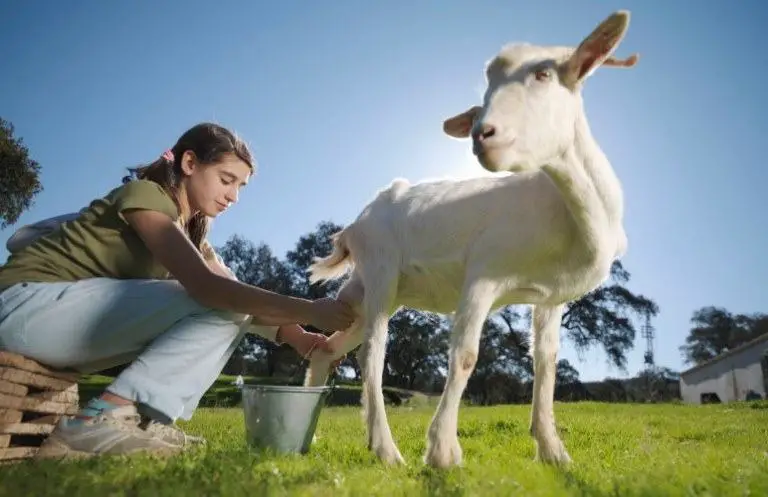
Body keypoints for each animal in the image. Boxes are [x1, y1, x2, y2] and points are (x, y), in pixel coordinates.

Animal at [304, 10, 639, 469]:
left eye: (544, 73)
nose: (484, 133)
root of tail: (355, 225)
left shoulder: (551, 298)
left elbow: (546, 364)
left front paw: (554, 452)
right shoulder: (483, 274)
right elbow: (465, 356)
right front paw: (443, 451)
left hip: (367, 291)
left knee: (327, 346)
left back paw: (308, 436)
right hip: (381, 270)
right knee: (371, 353)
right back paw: (387, 450)